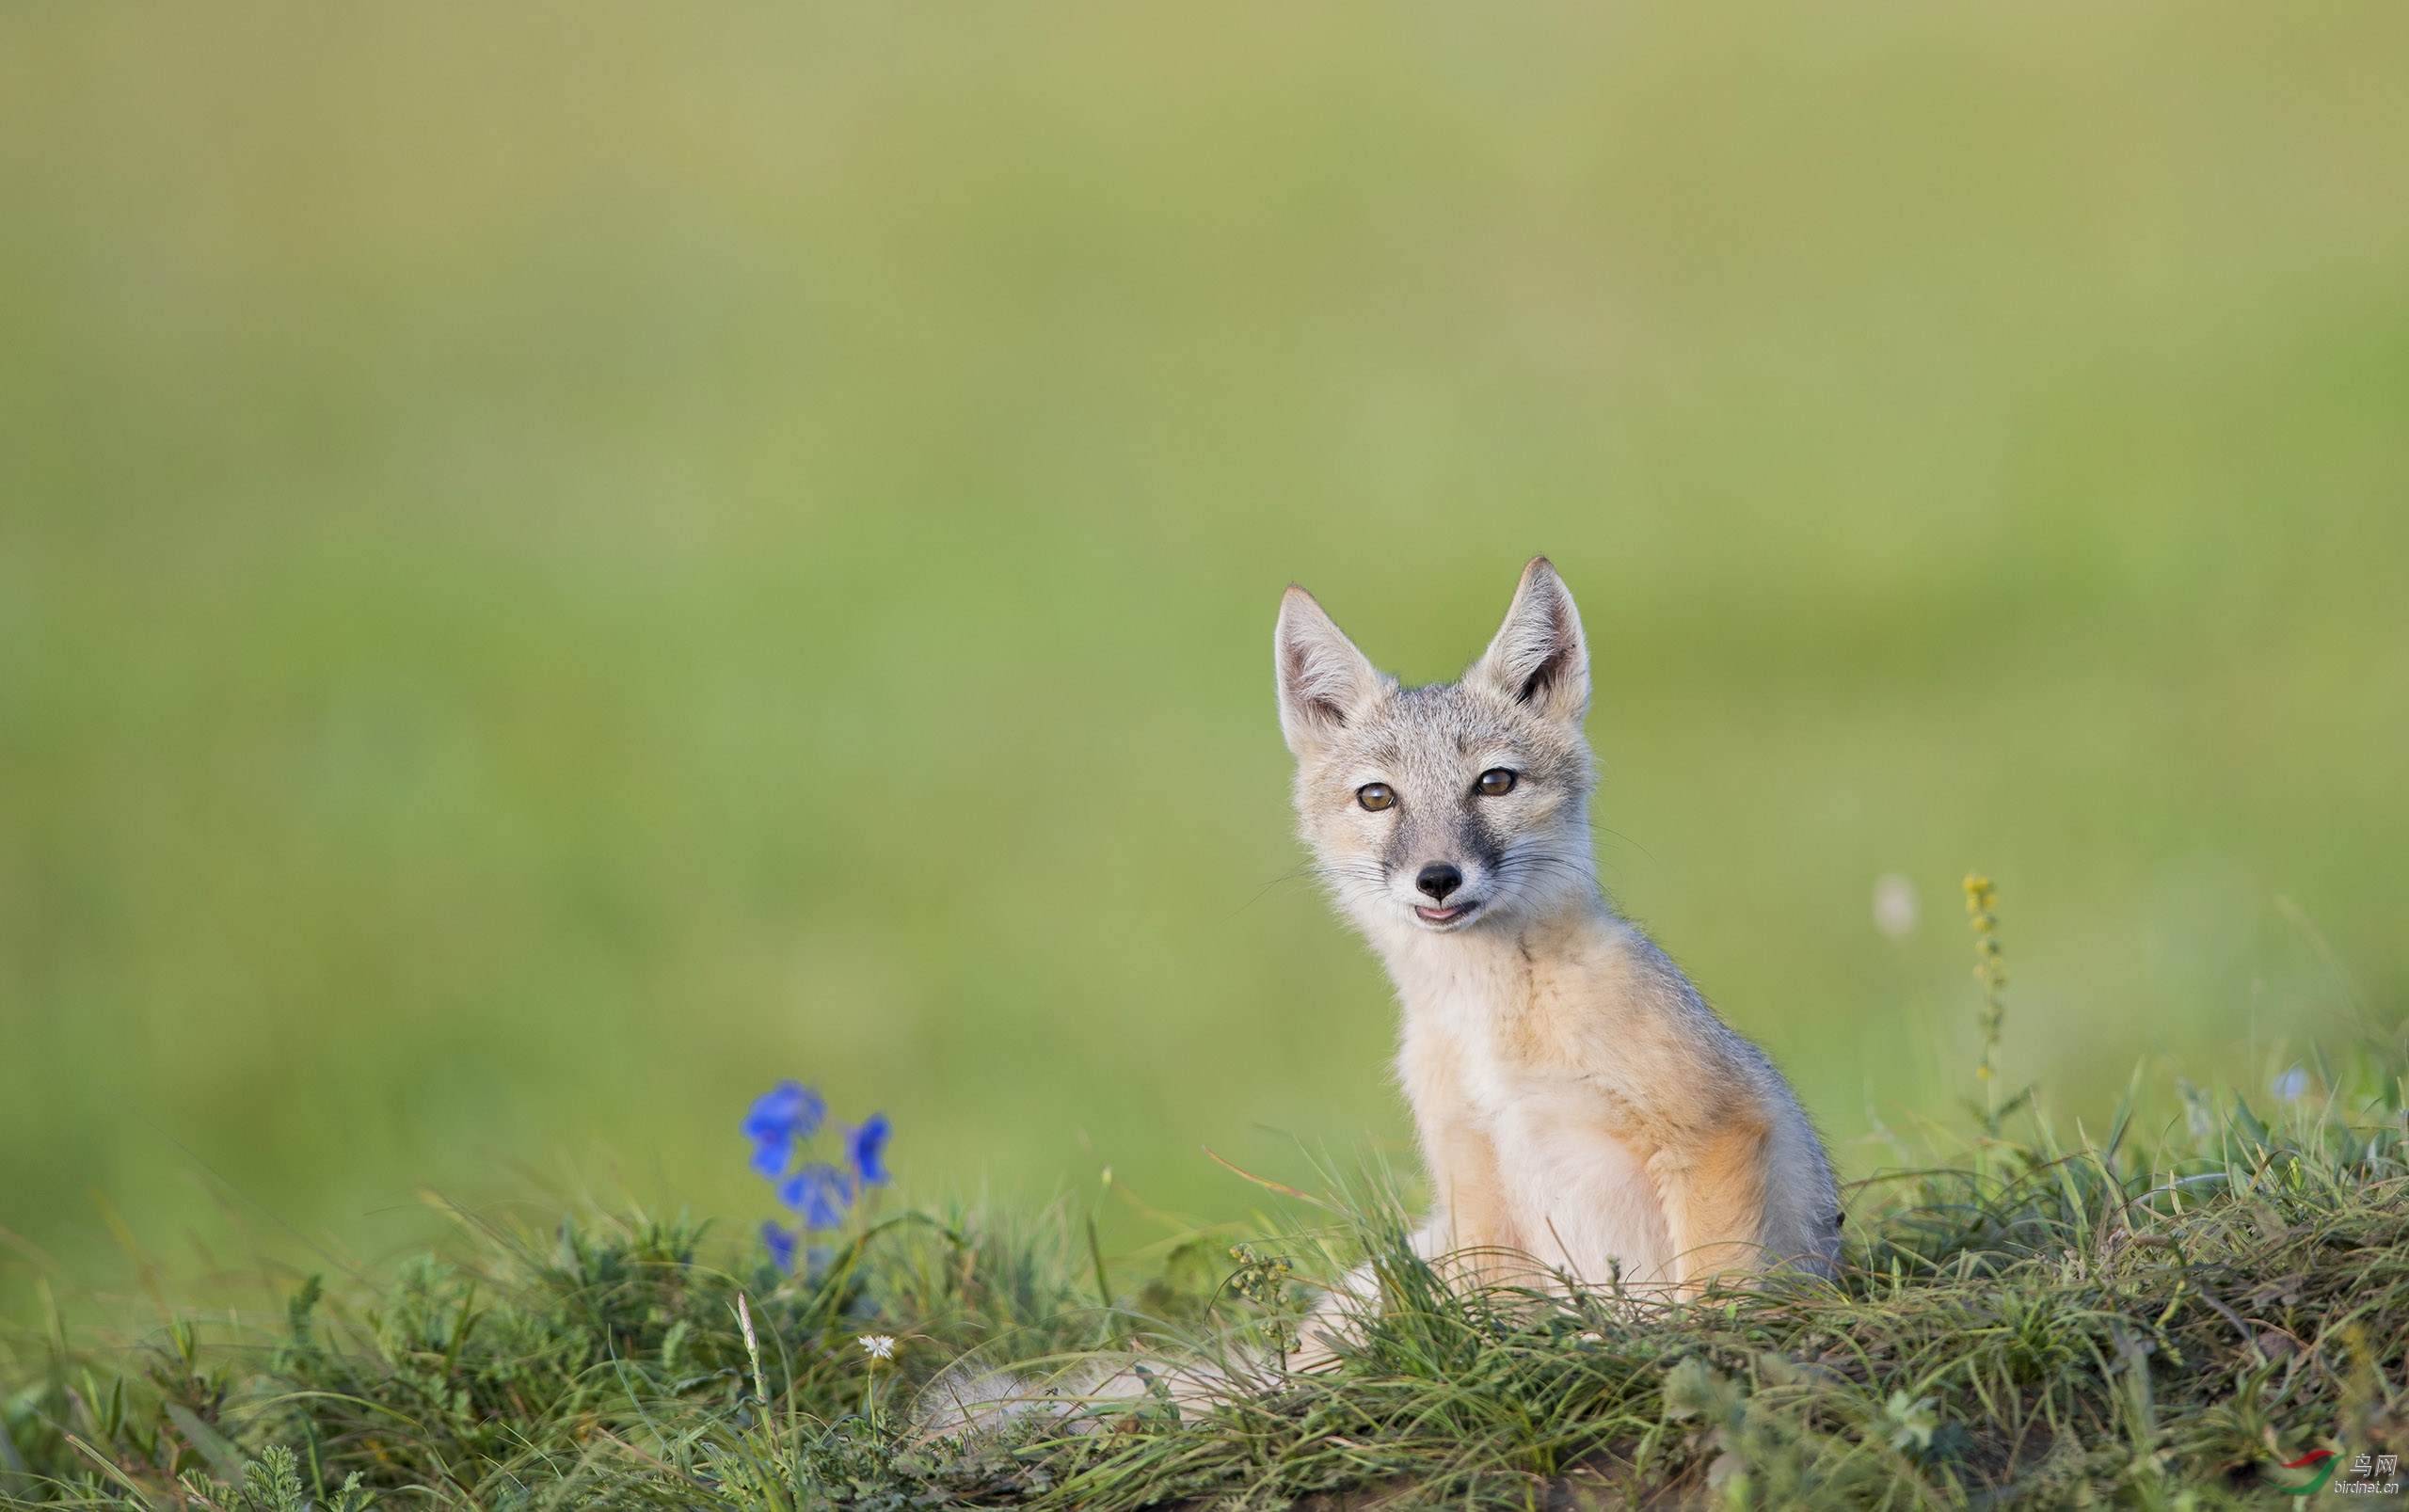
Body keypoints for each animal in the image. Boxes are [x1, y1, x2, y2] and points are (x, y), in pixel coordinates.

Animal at [1281, 561, 1840, 1290]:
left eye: (1494, 783)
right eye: (1377, 797)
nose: (1437, 877)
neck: (1492, 1018)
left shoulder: (1718, 1126)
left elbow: (1717, 1292)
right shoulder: (1474, 1186)